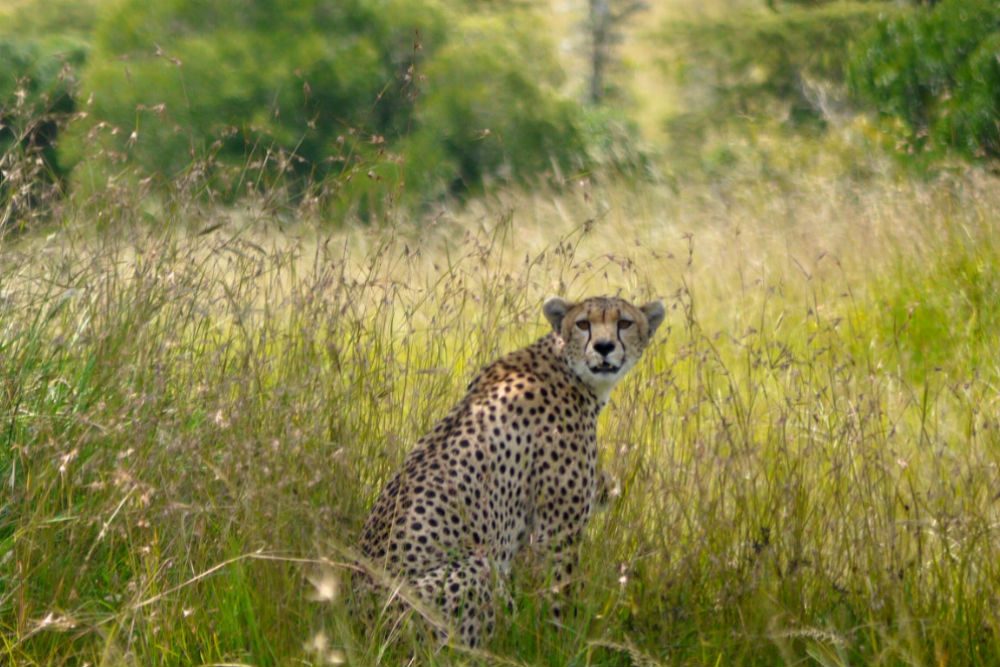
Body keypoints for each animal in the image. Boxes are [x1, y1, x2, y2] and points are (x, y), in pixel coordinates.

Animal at [358, 296, 664, 648]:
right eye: (583, 324)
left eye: (624, 323)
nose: (603, 347)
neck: (567, 367)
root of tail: (361, 624)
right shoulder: (556, 532)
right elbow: (558, 597)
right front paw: (561, 644)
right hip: (472, 571)